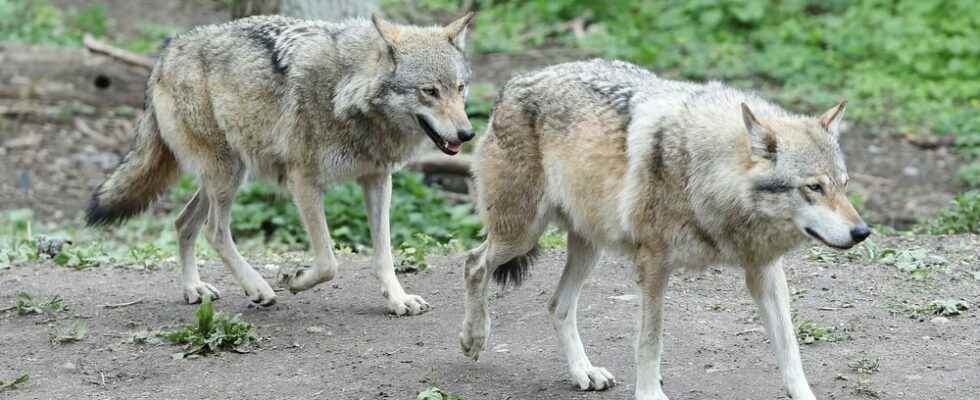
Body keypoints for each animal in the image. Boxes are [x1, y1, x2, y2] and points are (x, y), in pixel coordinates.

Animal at [86, 13, 476, 316]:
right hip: (227, 175)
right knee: (214, 230)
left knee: (183, 223)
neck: (344, 91)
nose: (467, 133)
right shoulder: (302, 182)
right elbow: (328, 263)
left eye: (459, 88)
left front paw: (398, 300)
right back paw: (257, 288)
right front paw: (295, 279)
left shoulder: (377, 179)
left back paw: (194, 289)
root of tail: (167, 51)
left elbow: (383, 254)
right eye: (429, 91)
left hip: (226, 176)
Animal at [456, 59, 868, 400]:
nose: (862, 232)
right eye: (814, 187)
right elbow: (650, 341)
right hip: (522, 234)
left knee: (557, 305)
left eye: (844, 185)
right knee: (474, 263)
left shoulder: (763, 270)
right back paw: (474, 337)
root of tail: (513, 83)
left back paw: (584, 372)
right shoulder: (654, 264)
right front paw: (650, 394)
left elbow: (789, 347)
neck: (703, 171)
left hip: (588, 248)